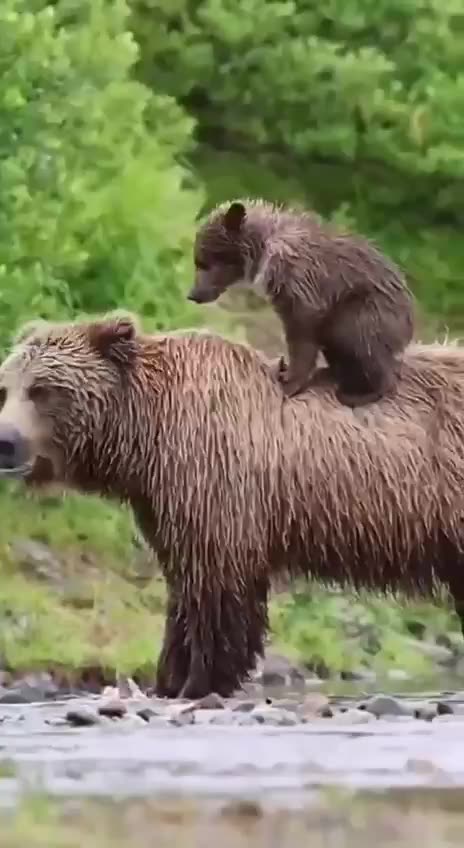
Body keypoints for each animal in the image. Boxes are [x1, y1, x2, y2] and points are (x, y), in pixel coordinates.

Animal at [0, 313, 463, 700]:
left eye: (42, 390)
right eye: (6, 387)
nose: (6, 441)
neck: (144, 436)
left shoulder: (216, 484)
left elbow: (215, 590)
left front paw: (198, 680)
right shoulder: (166, 502)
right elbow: (183, 590)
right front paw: (168, 679)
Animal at [188, 199, 415, 406]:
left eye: (204, 262)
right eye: (198, 261)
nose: (193, 294)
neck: (264, 251)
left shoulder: (302, 287)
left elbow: (302, 338)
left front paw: (289, 382)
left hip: (365, 309)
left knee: (362, 344)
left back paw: (360, 393)